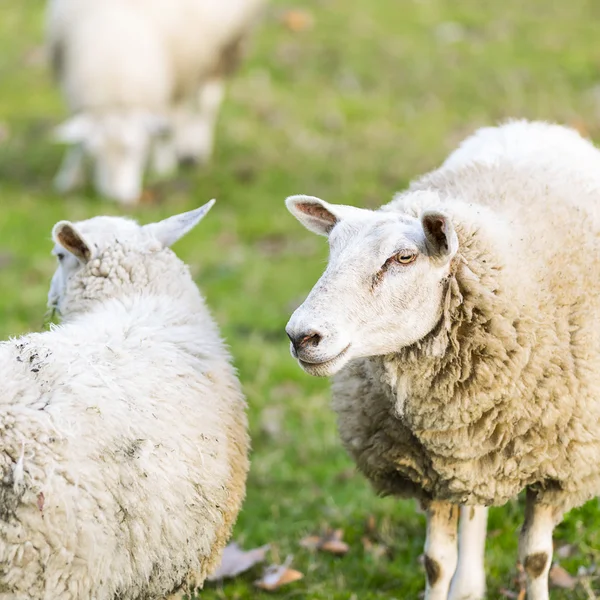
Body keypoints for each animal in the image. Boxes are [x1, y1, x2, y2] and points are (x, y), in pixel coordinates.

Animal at [49, 0, 268, 204]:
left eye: (136, 150)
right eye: (94, 155)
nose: (116, 198)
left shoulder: (175, 76)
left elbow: (168, 126)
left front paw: (163, 169)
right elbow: (77, 137)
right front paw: (68, 178)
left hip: (225, 47)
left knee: (205, 102)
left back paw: (196, 151)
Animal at [284, 118, 600, 600]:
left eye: (404, 257)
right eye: (331, 252)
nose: (301, 335)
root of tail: (529, 124)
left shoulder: (560, 469)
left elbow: (536, 558)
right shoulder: (429, 470)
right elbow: (436, 562)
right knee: (473, 511)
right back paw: (468, 586)